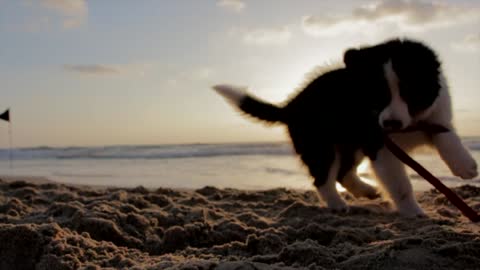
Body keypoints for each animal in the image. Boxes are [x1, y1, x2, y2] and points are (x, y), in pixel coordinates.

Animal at [214, 38, 476, 216]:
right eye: (376, 95)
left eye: (409, 92)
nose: (390, 123)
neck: (410, 123)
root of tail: (292, 105)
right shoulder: (379, 144)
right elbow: (400, 183)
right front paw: (413, 212)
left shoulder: (435, 118)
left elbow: (447, 136)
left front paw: (465, 165)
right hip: (321, 146)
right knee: (323, 178)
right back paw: (337, 204)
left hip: (350, 143)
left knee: (342, 172)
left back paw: (366, 190)